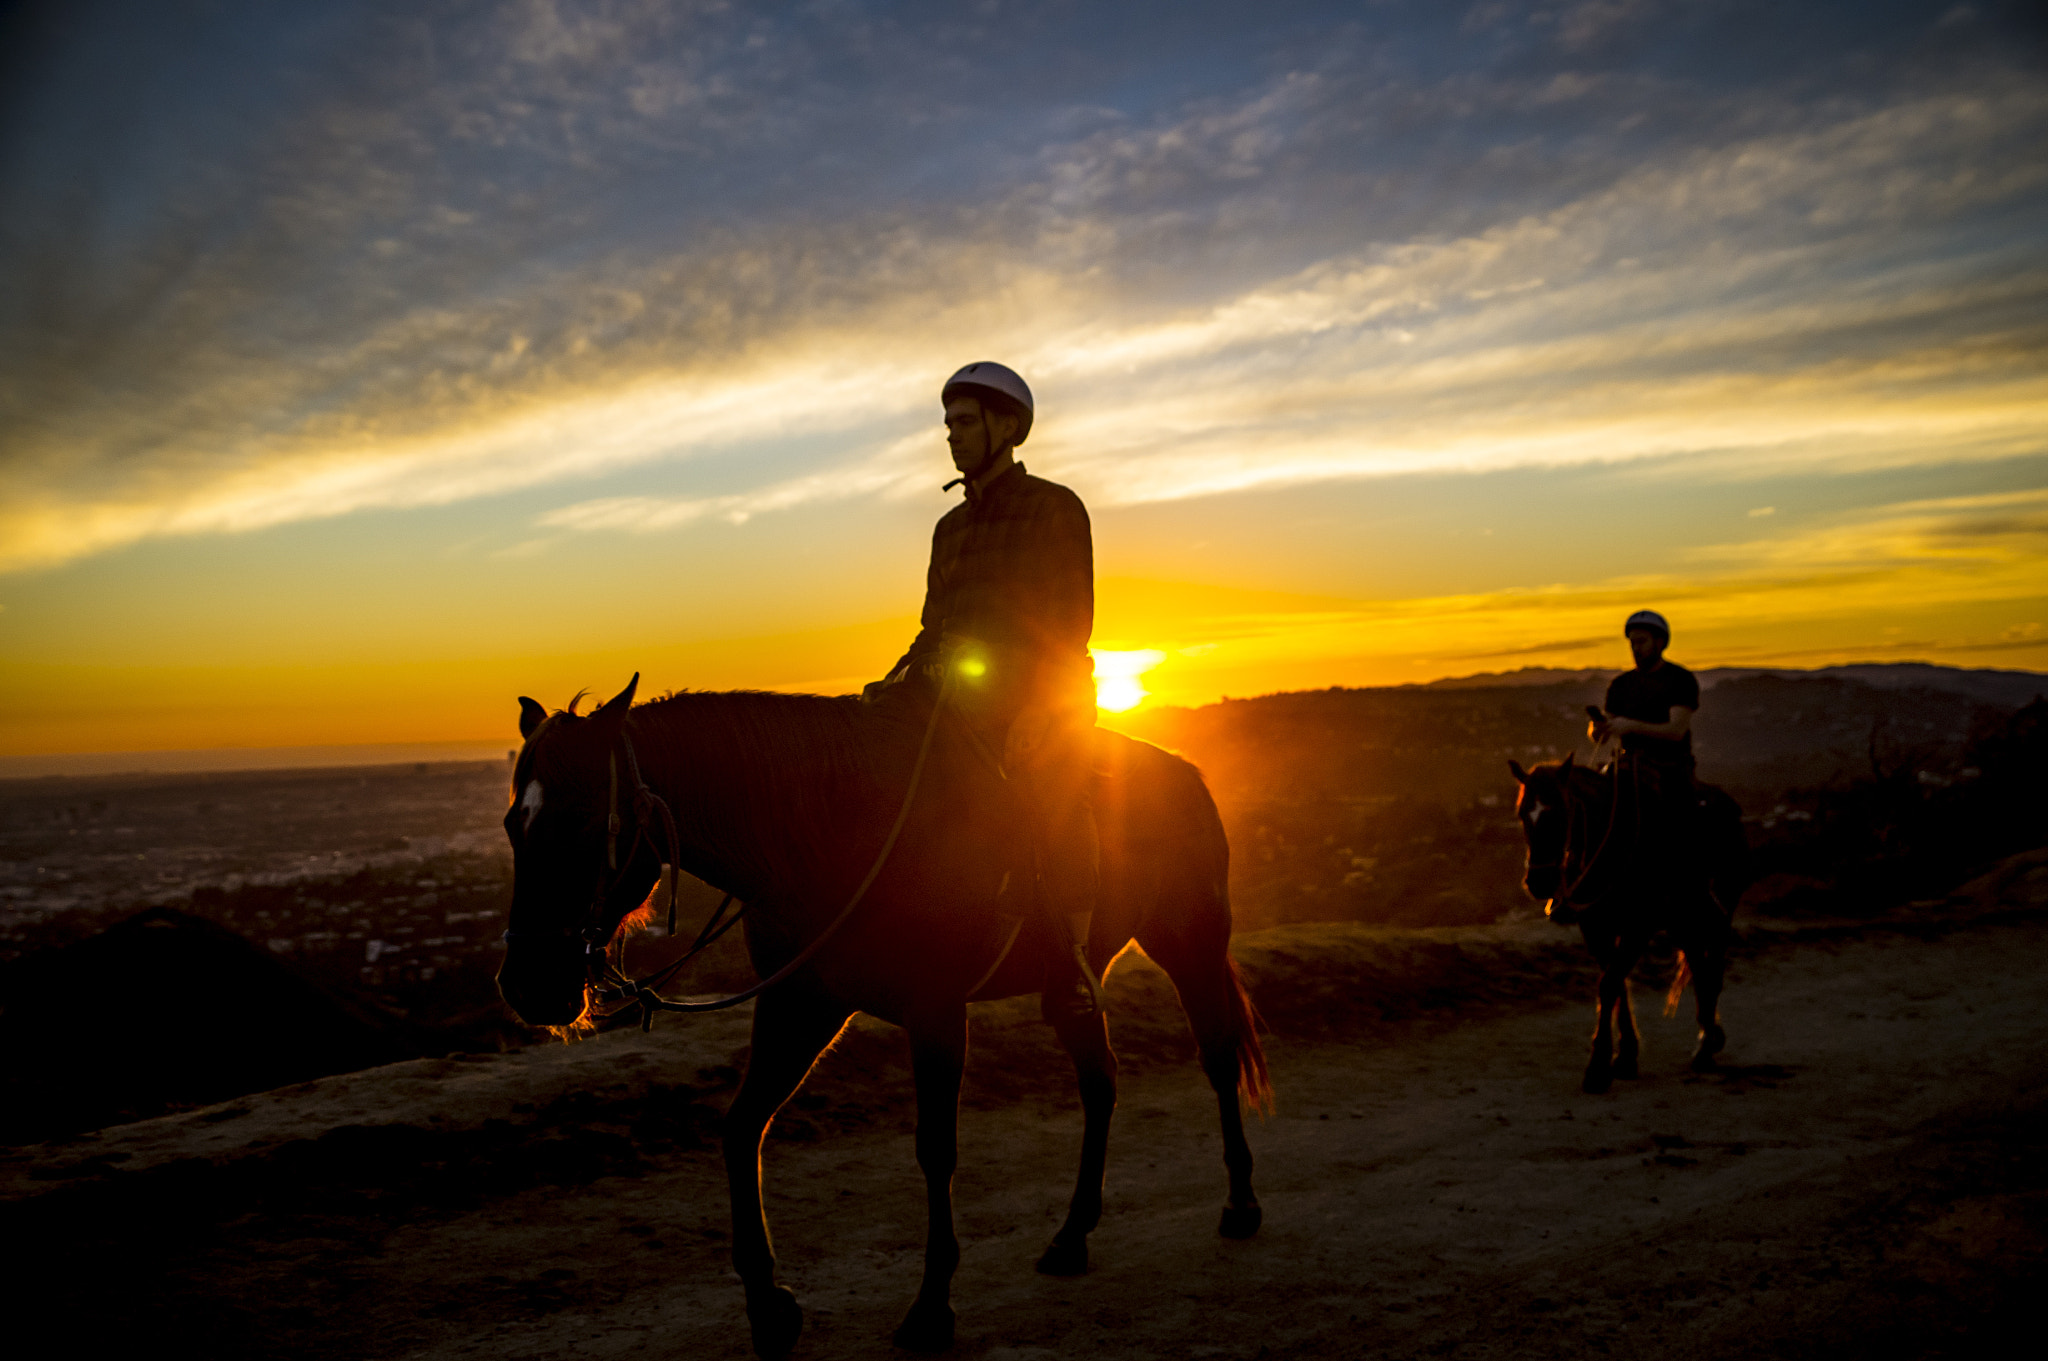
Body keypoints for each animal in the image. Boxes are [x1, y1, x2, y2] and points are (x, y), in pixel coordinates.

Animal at [495, 679, 1261, 1358]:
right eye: (512, 823)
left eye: (583, 818)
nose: (528, 985)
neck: (831, 828)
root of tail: (1187, 772)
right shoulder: (801, 1003)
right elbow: (742, 1129)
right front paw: (769, 1305)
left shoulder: (935, 1011)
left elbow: (935, 1149)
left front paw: (930, 1308)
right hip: (1071, 985)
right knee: (1101, 1084)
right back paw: (1072, 1236)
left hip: (1190, 943)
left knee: (1219, 1057)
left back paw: (1241, 1202)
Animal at [1507, 753, 1744, 1096]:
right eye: (1524, 813)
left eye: (1560, 812)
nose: (1539, 882)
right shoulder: (1596, 929)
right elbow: (1616, 984)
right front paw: (1625, 1055)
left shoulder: (1638, 927)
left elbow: (1609, 984)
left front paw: (1597, 1067)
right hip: (1682, 918)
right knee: (1699, 963)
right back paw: (1707, 1041)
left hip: (1711, 904)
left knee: (1713, 957)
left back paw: (1708, 1041)